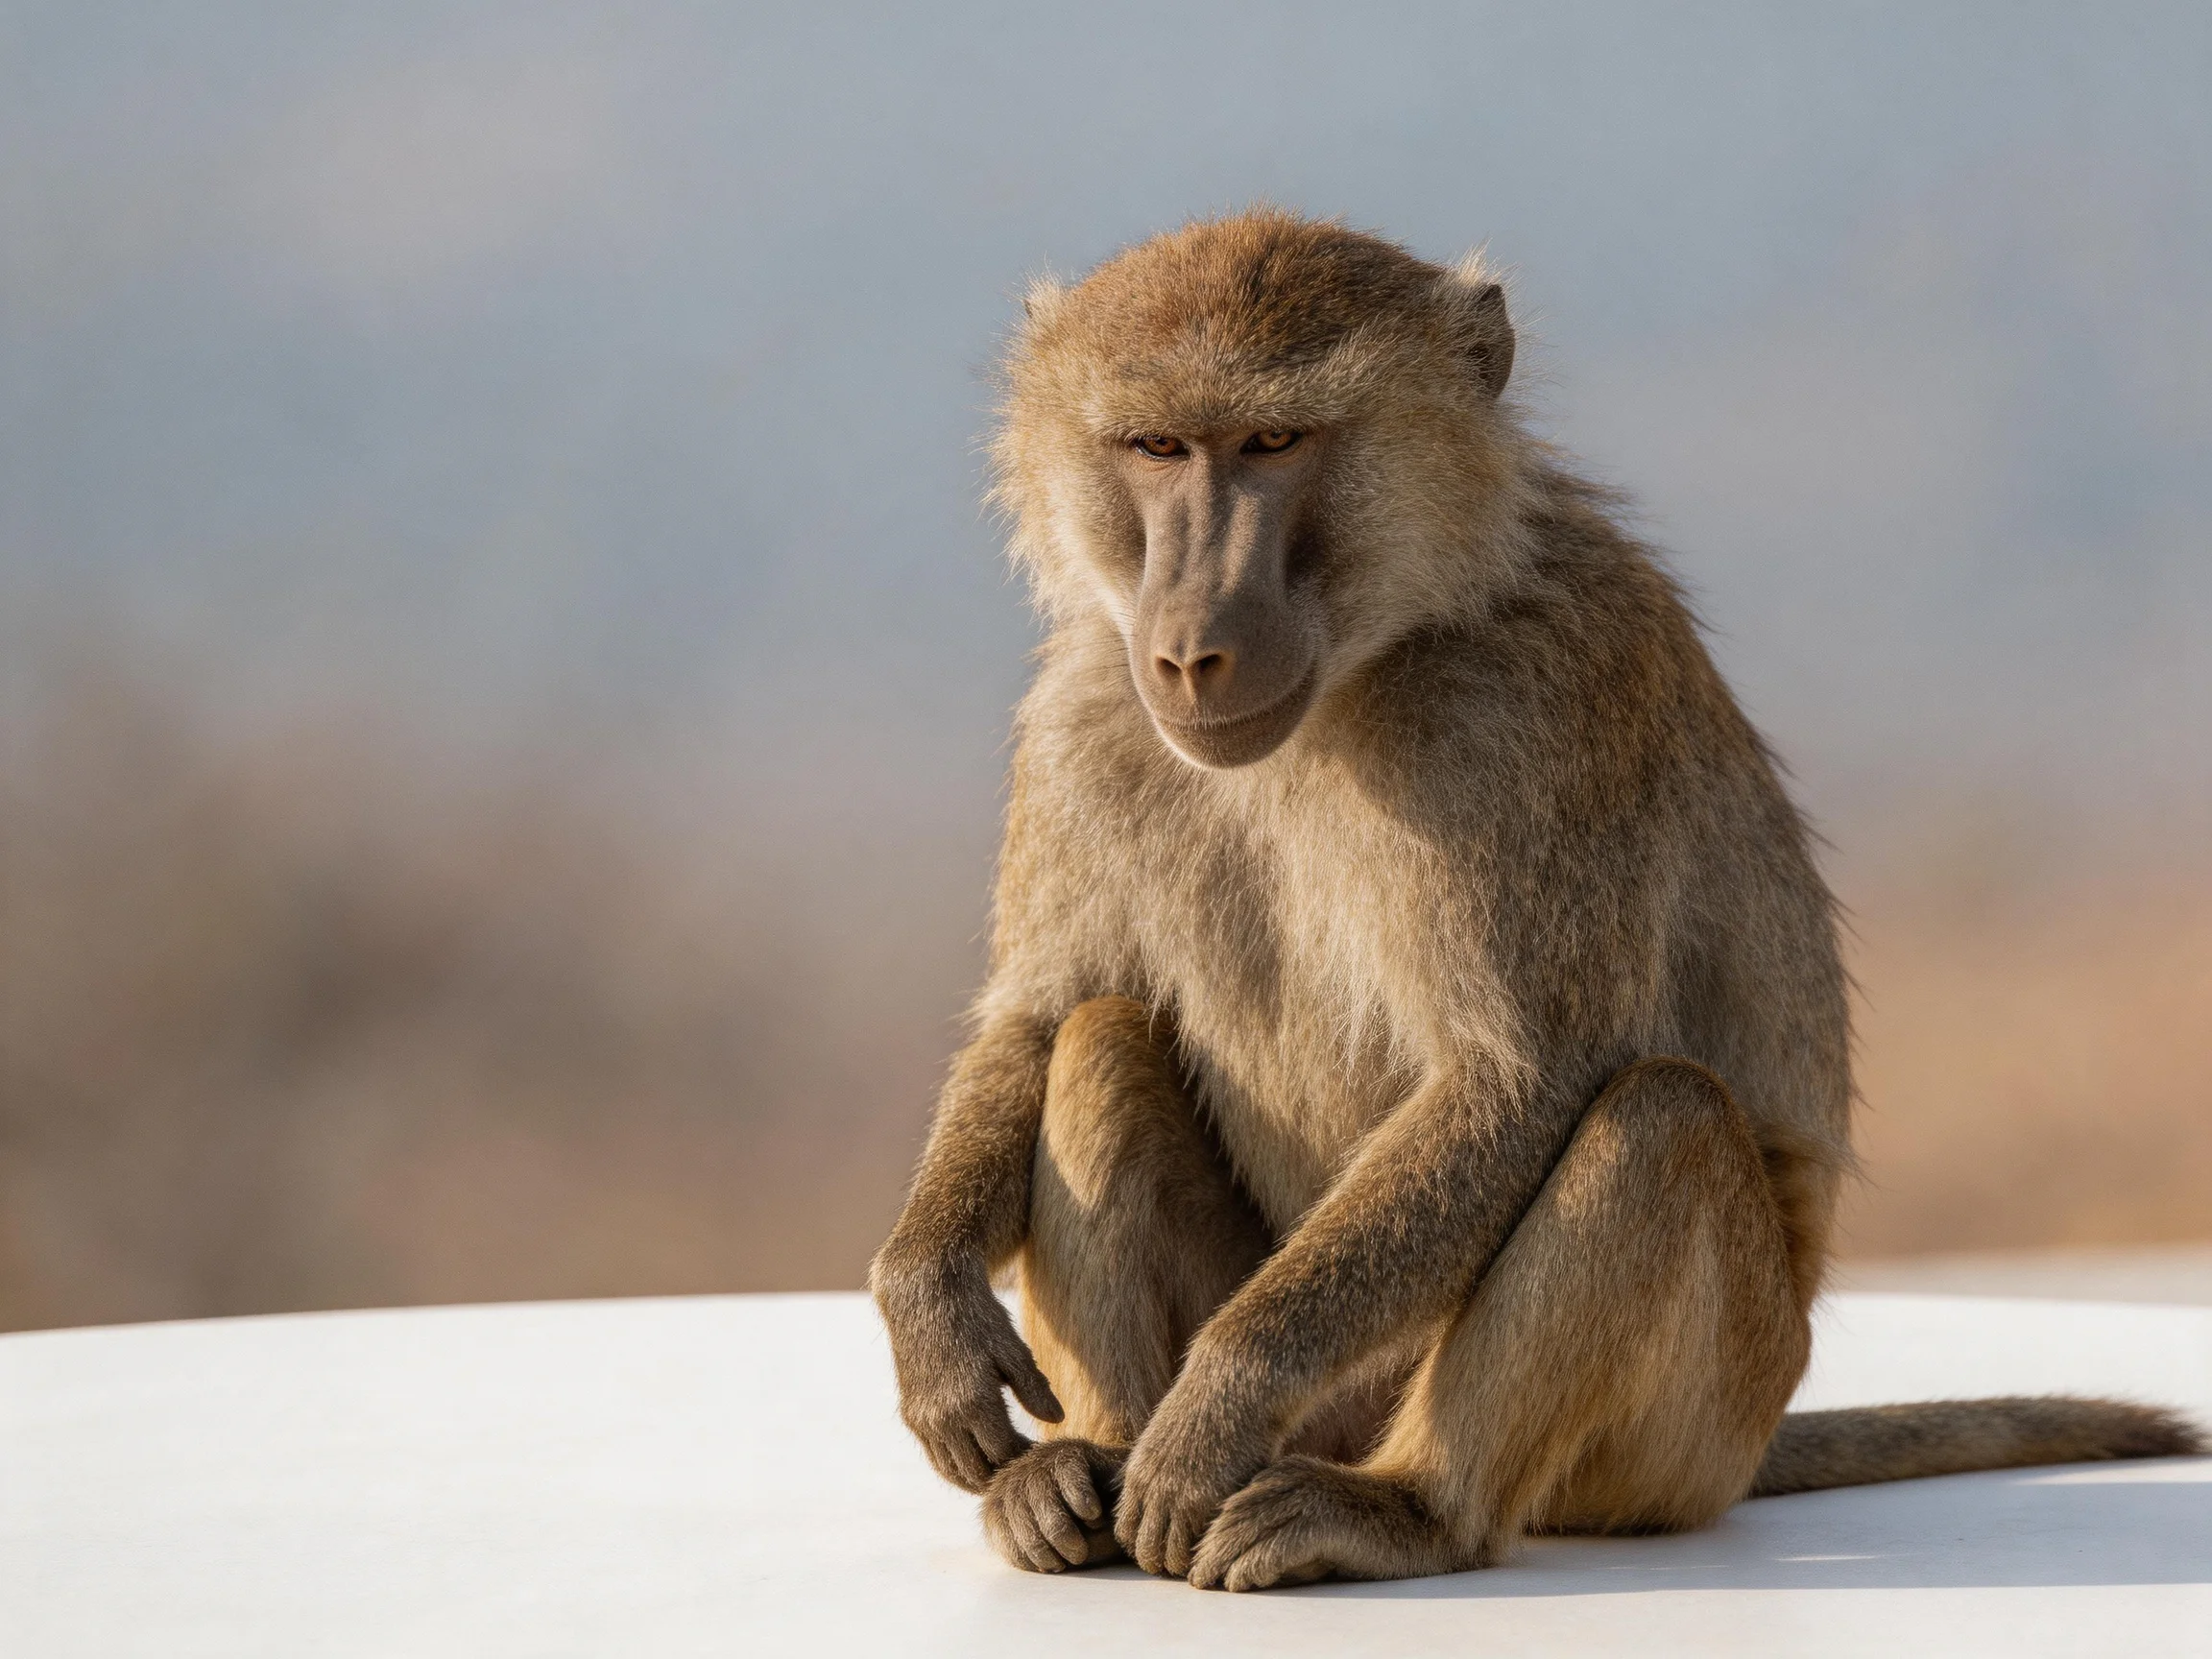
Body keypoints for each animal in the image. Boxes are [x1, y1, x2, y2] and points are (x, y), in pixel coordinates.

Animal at [868, 209, 2202, 1590]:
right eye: (1157, 446)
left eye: (1274, 444)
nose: (1191, 650)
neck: (1373, 655)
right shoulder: (1084, 712)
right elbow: (1036, 1017)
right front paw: (928, 1300)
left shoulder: (1543, 711)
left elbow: (1517, 1077)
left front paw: (1219, 1400)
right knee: (1101, 1038)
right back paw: (1090, 1468)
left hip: (1691, 1427)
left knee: (1660, 1118)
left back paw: (1401, 1508)